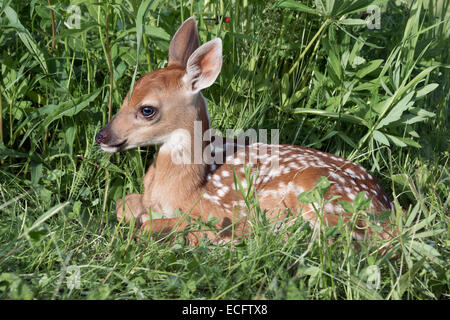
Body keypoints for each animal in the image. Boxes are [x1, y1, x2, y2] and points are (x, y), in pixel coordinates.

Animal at [95, 16, 394, 245]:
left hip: (317, 198)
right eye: (127, 96)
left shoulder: (221, 210)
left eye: (147, 109)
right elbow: (122, 204)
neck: (189, 185)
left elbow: (157, 224)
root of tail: (386, 211)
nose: (102, 135)